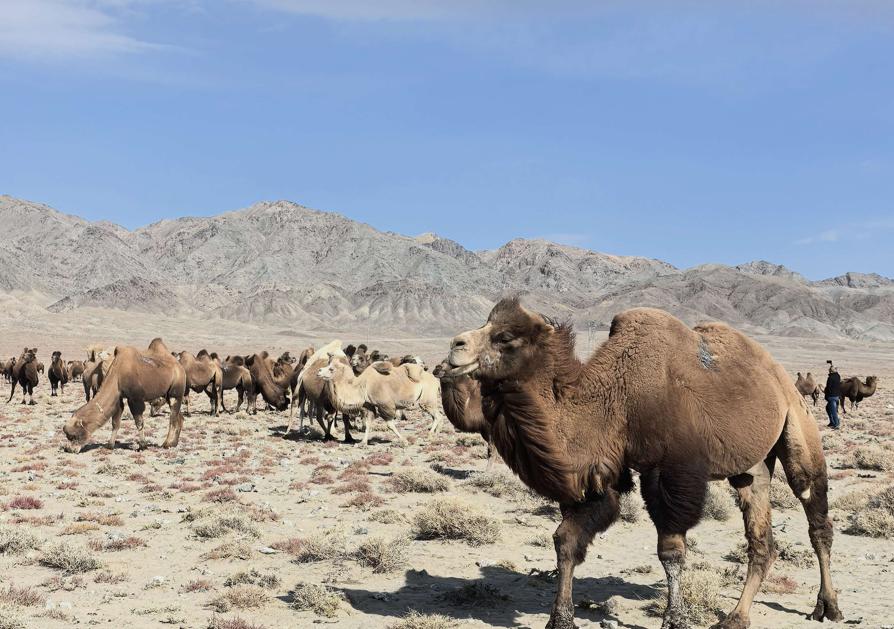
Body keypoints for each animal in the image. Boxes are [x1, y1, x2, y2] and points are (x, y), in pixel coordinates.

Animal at [441, 298, 841, 629]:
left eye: (505, 337)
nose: (453, 349)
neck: (616, 396)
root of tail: (778, 374)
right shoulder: (601, 475)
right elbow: (566, 539)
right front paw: (560, 620)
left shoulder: (671, 471)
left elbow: (671, 551)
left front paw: (675, 620)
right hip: (751, 467)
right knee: (762, 539)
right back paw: (735, 618)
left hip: (798, 424)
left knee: (813, 509)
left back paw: (828, 606)